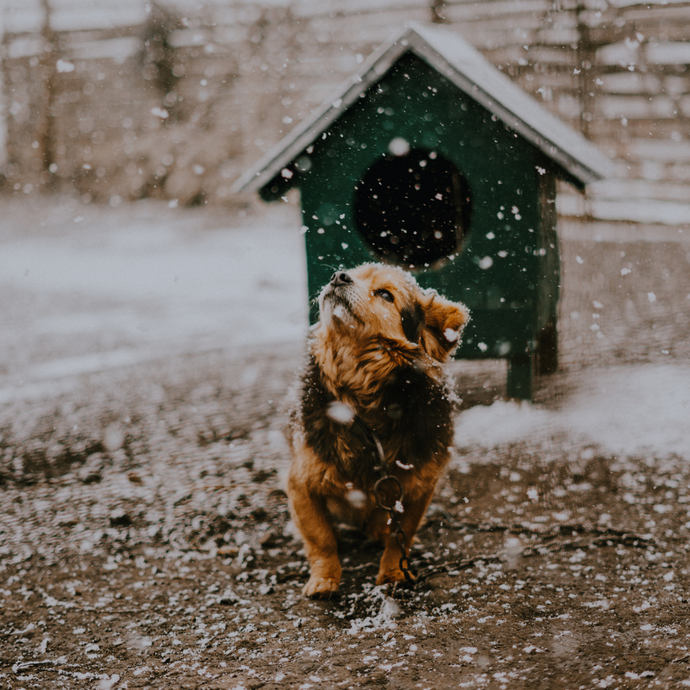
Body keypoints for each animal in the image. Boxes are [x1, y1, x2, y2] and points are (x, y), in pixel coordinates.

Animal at [284, 260, 468, 592]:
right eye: (351, 273)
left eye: (385, 294)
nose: (338, 276)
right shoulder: (301, 484)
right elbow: (321, 539)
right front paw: (325, 578)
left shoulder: (417, 486)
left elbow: (401, 536)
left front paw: (394, 572)